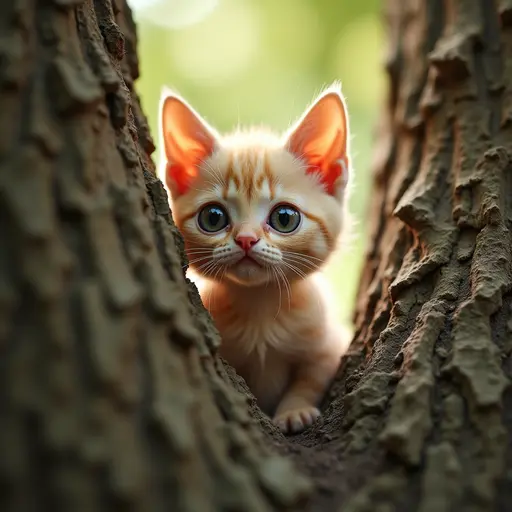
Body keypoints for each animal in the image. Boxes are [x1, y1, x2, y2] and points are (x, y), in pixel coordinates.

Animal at [158, 83, 354, 432]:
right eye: (213, 217)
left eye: (285, 218)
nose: (246, 239)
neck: (259, 310)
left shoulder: (331, 343)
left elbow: (312, 377)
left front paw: (294, 410)